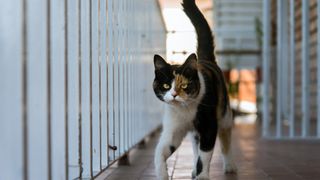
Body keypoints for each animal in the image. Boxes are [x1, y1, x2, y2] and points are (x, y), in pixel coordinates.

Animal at [152, 0, 238, 180]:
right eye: (166, 86)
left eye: (184, 85)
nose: (174, 94)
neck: (184, 110)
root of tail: (204, 59)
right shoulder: (173, 129)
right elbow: (160, 152)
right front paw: (162, 174)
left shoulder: (209, 126)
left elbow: (204, 156)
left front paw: (202, 175)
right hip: (194, 133)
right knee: (194, 145)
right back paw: (192, 169)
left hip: (224, 114)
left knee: (226, 138)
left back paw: (230, 166)